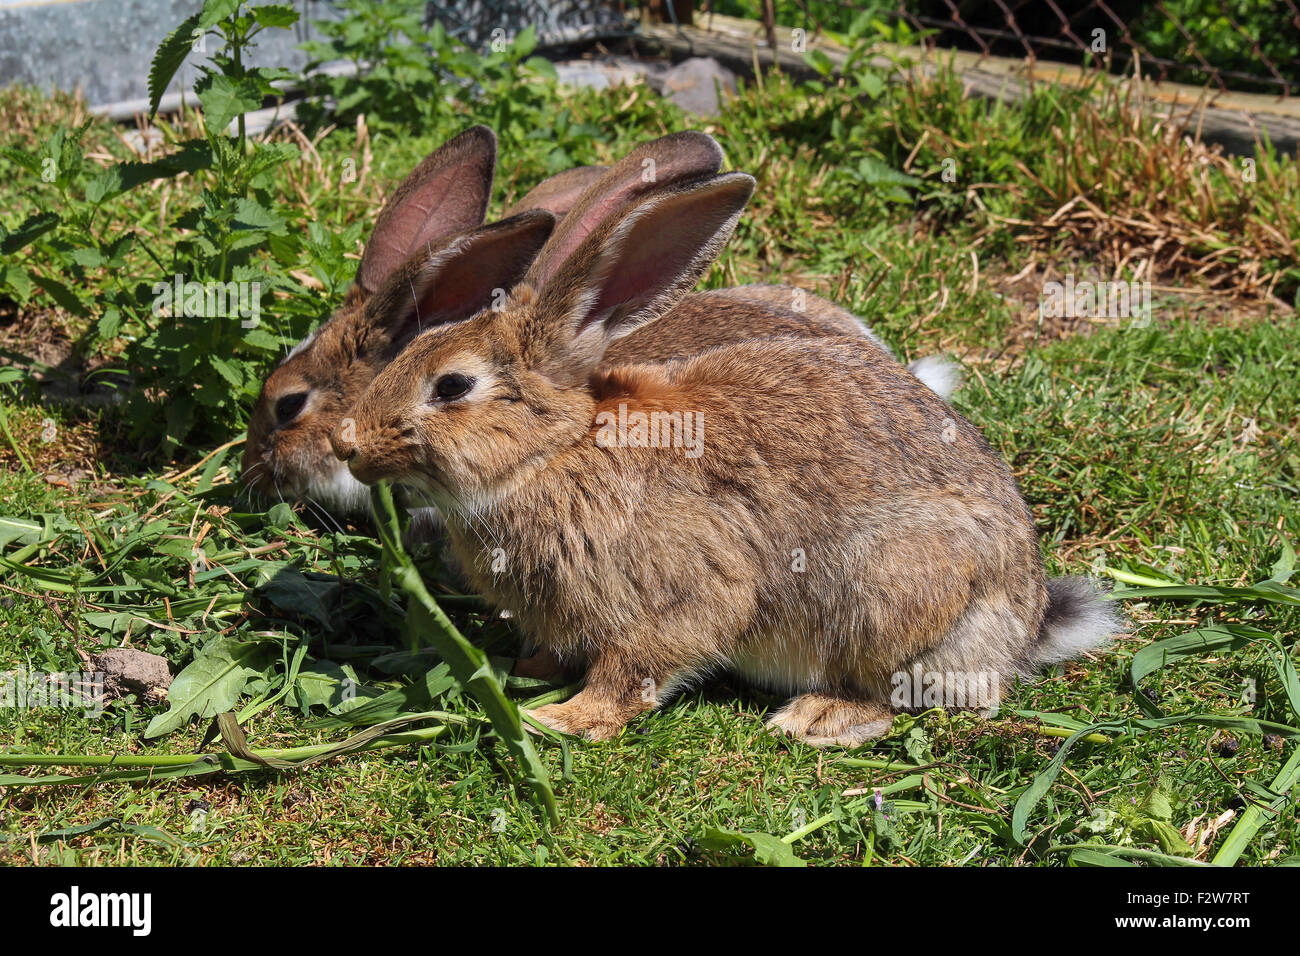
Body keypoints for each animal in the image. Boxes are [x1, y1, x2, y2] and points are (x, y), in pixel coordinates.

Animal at [330, 170, 1118, 747]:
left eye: (452, 386)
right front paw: (522, 672)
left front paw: (561, 720)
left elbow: (637, 667)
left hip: (890, 592)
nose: (347, 443)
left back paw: (816, 719)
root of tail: (1021, 629)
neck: (555, 451)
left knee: (898, 693)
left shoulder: (680, 598)